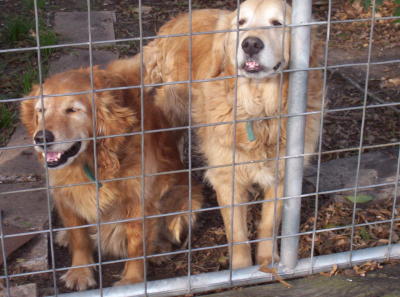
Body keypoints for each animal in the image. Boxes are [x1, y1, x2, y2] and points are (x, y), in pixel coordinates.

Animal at [19, 54, 203, 288]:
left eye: (72, 110)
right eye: (41, 110)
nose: (41, 138)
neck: (93, 161)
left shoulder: (138, 199)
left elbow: (136, 245)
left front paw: (132, 280)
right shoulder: (65, 195)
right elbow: (79, 238)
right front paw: (80, 272)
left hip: (187, 200)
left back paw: (158, 249)